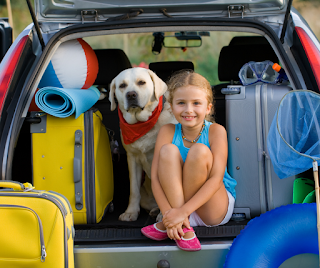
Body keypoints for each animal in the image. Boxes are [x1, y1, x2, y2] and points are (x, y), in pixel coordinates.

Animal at [109, 67, 176, 222]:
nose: (131, 94)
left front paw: (164, 215)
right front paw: (131, 212)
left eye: (141, 82)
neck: (142, 124)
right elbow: (133, 190)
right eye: (122, 85)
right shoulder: (132, 159)